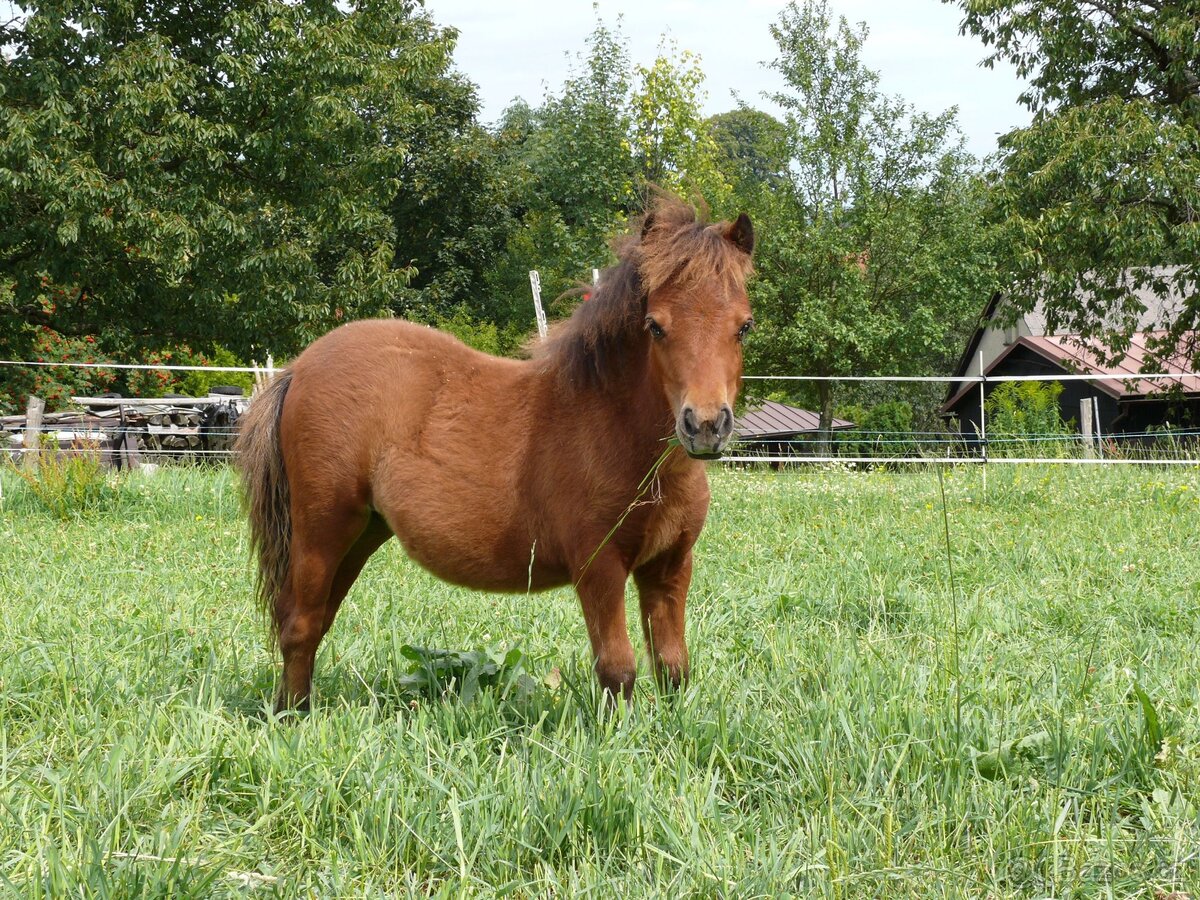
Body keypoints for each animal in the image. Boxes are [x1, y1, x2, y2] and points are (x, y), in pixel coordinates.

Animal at [237, 195, 753, 710]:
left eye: (744, 327)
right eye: (655, 327)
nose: (705, 426)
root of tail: (299, 368)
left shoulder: (669, 566)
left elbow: (673, 668)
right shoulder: (598, 565)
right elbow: (617, 671)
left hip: (363, 531)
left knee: (315, 617)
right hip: (323, 527)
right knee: (300, 623)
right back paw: (291, 717)